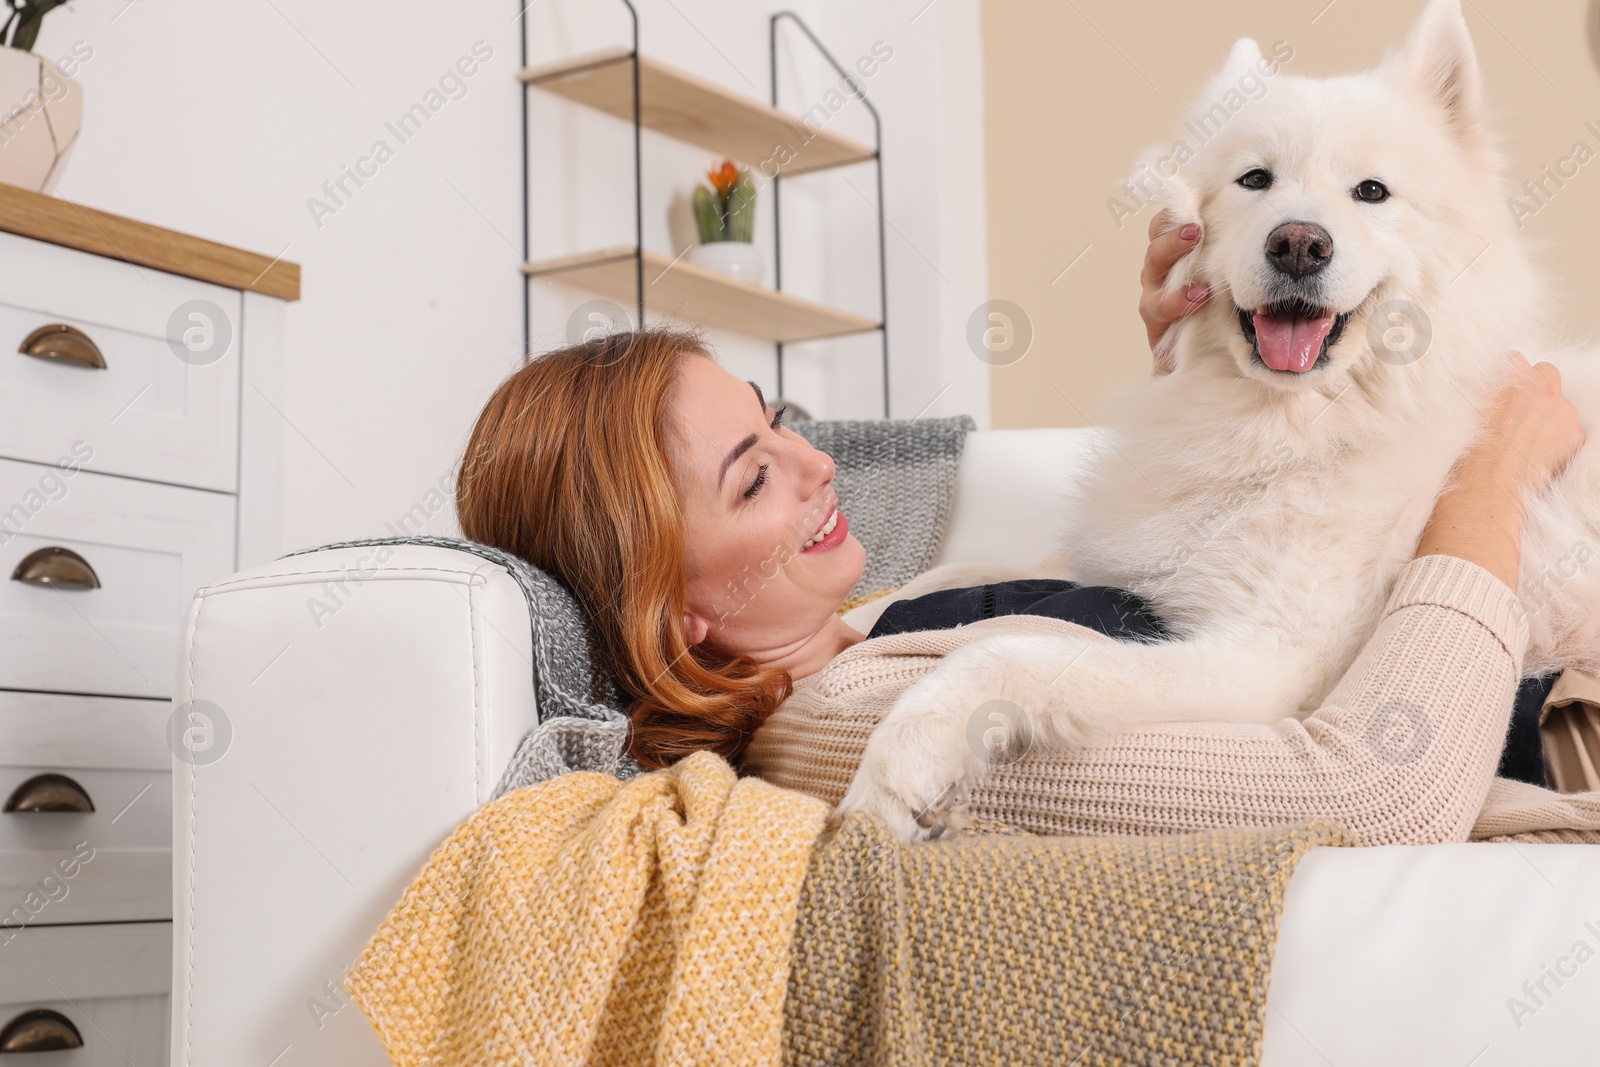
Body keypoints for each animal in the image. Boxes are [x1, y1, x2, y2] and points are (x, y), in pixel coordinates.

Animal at [832, 0, 1600, 844]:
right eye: (1254, 180)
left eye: (1371, 191)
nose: (1298, 242)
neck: (1292, 428)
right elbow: (969, 567)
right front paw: (861, 614)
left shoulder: (1267, 661)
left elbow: (1003, 654)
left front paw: (896, 766)